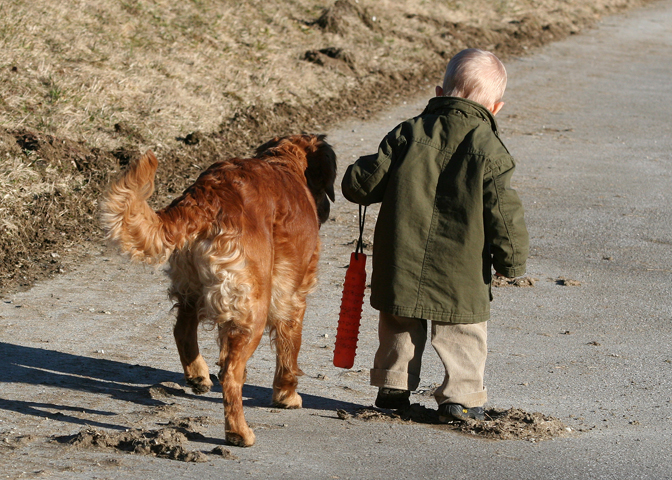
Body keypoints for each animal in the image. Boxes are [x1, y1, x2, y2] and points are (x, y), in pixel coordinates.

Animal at [100, 134, 336, 446]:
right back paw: (238, 431)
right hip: (254, 307)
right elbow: (289, 348)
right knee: (231, 375)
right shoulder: (293, 295)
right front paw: (287, 395)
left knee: (183, 331)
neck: (284, 162)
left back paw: (198, 375)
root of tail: (207, 197)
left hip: (193, 288)